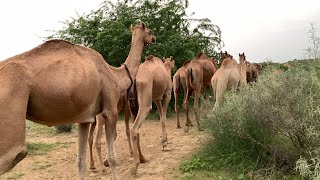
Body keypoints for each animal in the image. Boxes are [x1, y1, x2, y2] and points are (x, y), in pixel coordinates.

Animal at [0, 22, 156, 180]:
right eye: (149, 31)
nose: (154, 38)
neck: (116, 75)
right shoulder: (110, 109)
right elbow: (112, 157)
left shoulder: (85, 119)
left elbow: (81, 161)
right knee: (14, 154)